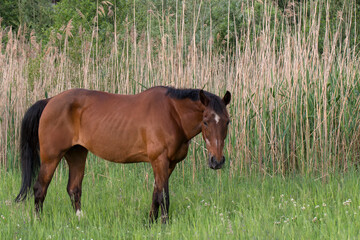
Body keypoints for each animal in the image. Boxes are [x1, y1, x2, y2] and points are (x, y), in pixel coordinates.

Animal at [14, 86, 231, 223]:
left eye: (227, 121)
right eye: (205, 121)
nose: (217, 161)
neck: (172, 114)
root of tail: (50, 100)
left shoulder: (169, 164)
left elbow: (156, 193)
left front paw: (150, 223)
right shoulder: (159, 160)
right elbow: (163, 195)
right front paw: (164, 224)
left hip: (77, 154)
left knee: (74, 189)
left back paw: (80, 220)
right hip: (51, 157)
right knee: (39, 189)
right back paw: (38, 221)